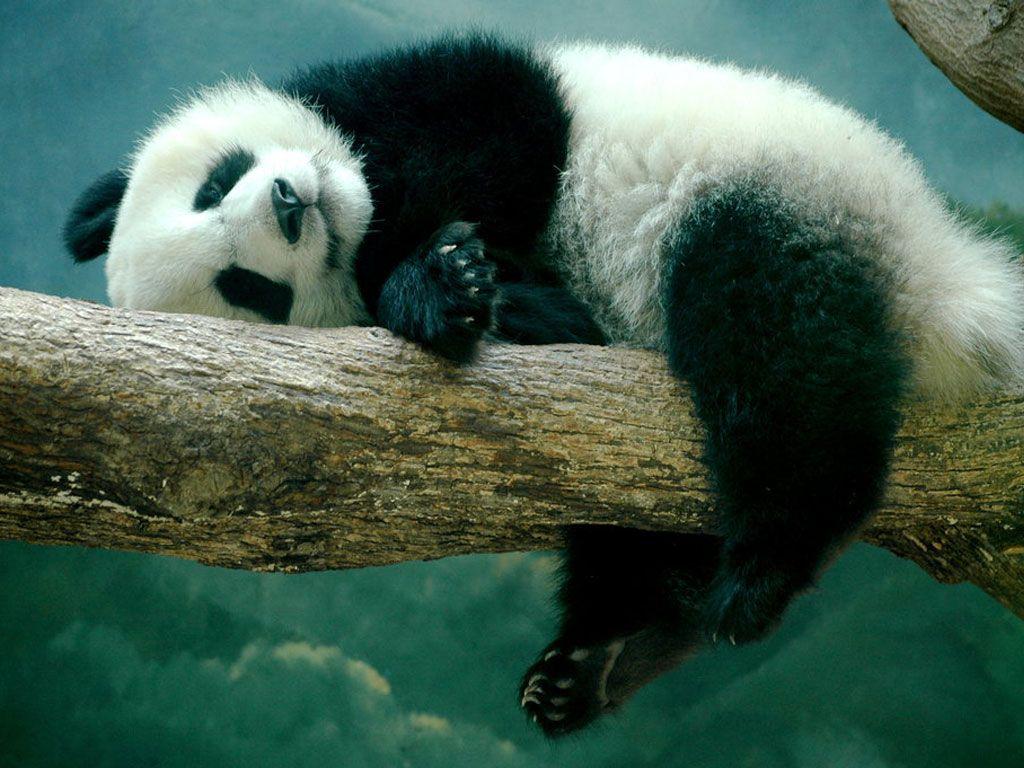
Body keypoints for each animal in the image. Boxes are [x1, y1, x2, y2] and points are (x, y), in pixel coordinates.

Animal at [64, 34, 1024, 735]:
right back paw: (607, 657)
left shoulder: (438, 92)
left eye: (214, 182)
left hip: (787, 188)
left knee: (781, 352)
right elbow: (561, 325)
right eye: (247, 289)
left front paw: (437, 271)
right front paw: (464, 290)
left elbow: (496, 125)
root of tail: (939, 279)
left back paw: (757, 573)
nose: (292, 204)